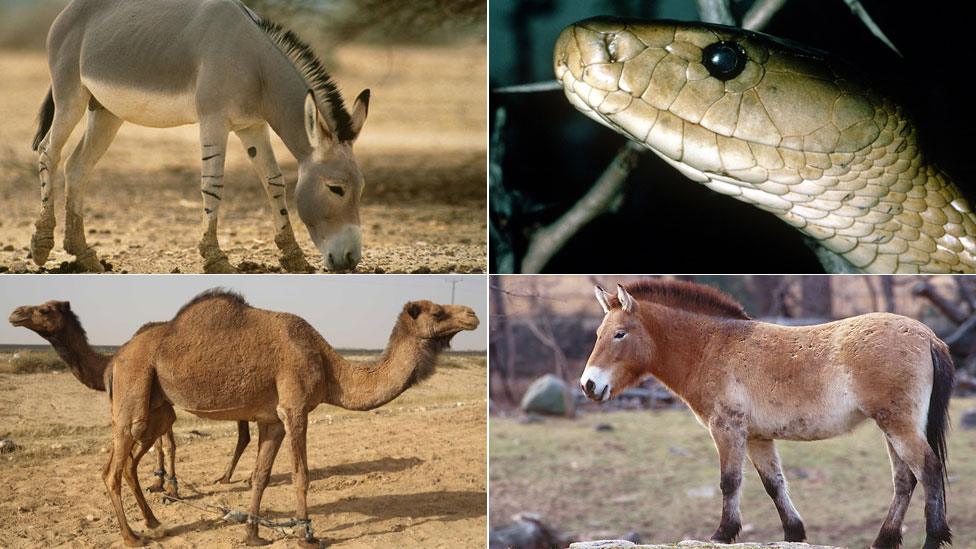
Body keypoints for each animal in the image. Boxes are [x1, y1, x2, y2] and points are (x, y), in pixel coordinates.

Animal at [8, 300, 252, 496]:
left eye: (45, 310)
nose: (15, 313)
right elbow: (160, 445)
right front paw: (157, 482)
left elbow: (169, 445)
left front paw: (172, 488)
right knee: (245, 435)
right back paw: (229, 478)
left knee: (245, 434)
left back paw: (236, 478)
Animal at [30, 0, 372, 272]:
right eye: (336, 189)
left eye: (362, 189)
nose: (351, 259)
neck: (254, 64)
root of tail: (68, 11)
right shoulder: (213, 119)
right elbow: (213, 184)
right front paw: (215, 258)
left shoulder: (252, 126)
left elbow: (274, 182)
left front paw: (294, 257)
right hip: (70, 94)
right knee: (48, 151)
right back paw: (41, 245)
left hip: (105, 111)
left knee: (77, 166)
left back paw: (84, 255)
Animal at [106, 288, 480, 544]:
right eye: (438, 312)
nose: (473, 314)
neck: (329, 368)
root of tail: (116, 358)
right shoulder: (295, 409)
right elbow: (302, 476)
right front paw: (306, 536)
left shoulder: (272, 419)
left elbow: (261, 476)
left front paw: (253, 534)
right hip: (135, 388)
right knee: (112, 470)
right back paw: (132, 537)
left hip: (157, 408)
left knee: (128, 463)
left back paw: (154, 522)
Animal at [580, 280, 952, 548]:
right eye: (597, 334)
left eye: (620, 334)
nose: (588, 385)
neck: (711, 347)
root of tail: (929, 336)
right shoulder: (758, 438)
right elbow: (774, 484)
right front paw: (794, 534)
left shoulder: (727, 428)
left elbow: (730, 481)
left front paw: (721, 534)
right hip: (892, 426)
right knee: (905, 479)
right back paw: (885, 539)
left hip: (898, 424)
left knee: (928, 468)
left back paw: (933, 539)